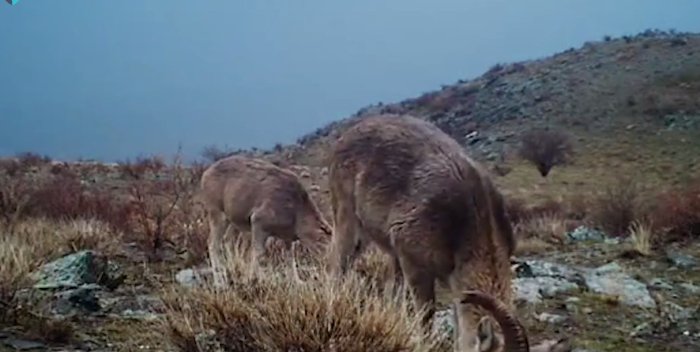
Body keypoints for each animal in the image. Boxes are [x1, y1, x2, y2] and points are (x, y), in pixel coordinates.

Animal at [198, 155, 332, 288]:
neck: (296, 212)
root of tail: (206, 174)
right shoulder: (258, 221)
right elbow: (258, 253)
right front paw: (255, 280)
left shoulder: (287, 238)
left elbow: (290, 258)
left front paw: (297, 281)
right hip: (217, 214)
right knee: (213, 244)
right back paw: (220, 282)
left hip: (233, 219)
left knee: (227, 241)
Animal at [326, 115, 548, 352]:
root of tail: (345, 137)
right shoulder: (414, 265)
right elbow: (426, 315)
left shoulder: (454, 283)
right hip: (347, 219)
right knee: (338, 265)